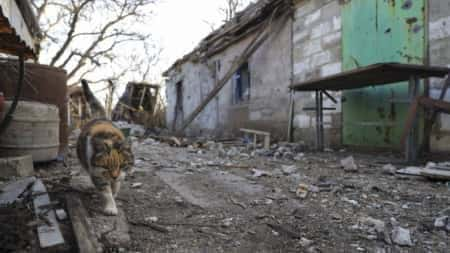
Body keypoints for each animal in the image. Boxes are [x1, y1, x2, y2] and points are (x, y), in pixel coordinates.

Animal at [76, 79, 134, 215]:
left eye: (122, 165)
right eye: (106, 166)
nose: (114, 176)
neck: (110, 138)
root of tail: (99, 117)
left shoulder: (121, 174)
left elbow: (117, 185)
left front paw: (115, 191)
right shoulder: (97, 173)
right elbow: (106, 192)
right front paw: (111, 207)